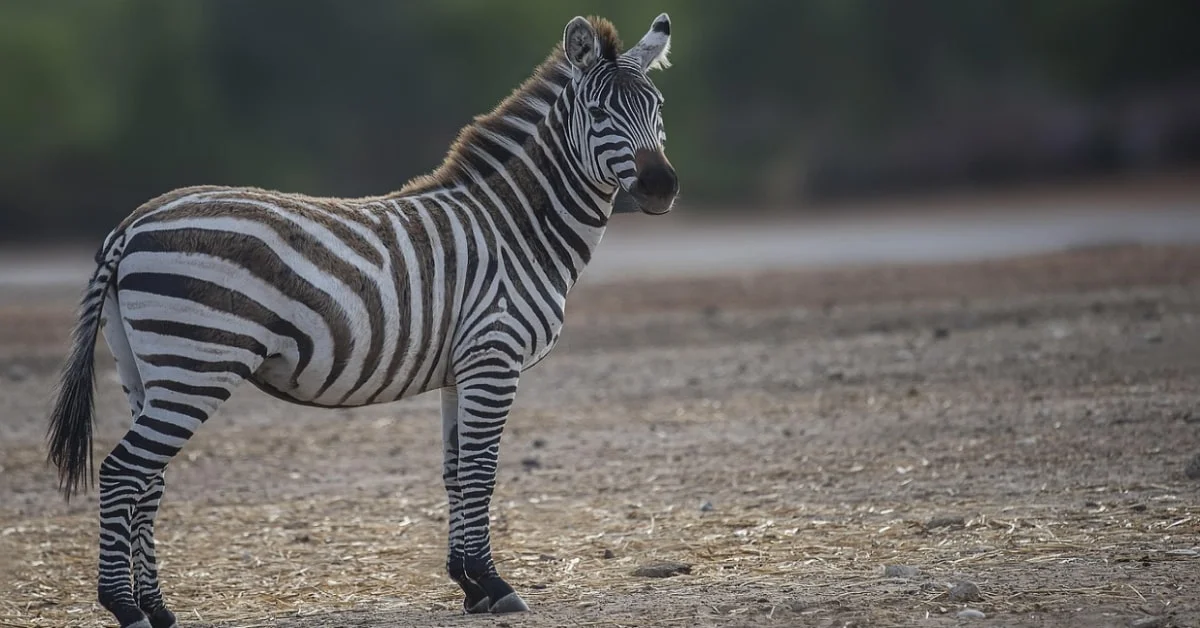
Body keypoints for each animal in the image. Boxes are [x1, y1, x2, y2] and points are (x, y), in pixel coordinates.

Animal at [46, 13, 676, 628]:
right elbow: (481, 470)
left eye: (657, 108)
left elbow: (454, 470)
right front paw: (494, 584)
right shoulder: (494, 356)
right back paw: (124, 607)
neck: (516, 227)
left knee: (148, 480)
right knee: (123, 471)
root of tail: (134, 222)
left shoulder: (461, 368)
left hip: (146, 369)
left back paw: (158, 608)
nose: (661, 187)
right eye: (598, 114)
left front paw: (468, 585)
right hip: (196, 365)